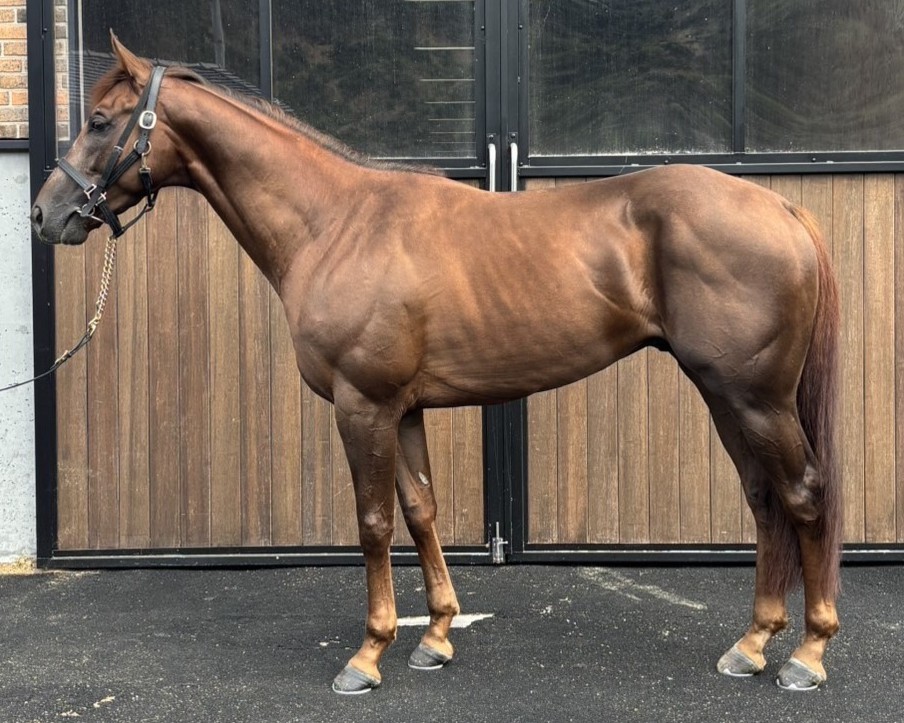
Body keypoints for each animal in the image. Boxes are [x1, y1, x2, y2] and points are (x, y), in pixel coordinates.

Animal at [32, 36, 842, 694]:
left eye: (101, 120)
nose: (46, 215)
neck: (335, 223)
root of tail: (779, 208)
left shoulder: (362, 404)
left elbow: (373, 522)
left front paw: (367, 655)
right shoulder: (405, 407)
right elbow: (421, 509)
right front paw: (437, 637)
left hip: (756, 397)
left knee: (802, 492)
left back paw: (807, 653)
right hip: (726, 395)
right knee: (764, 500)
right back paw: (751, 644)